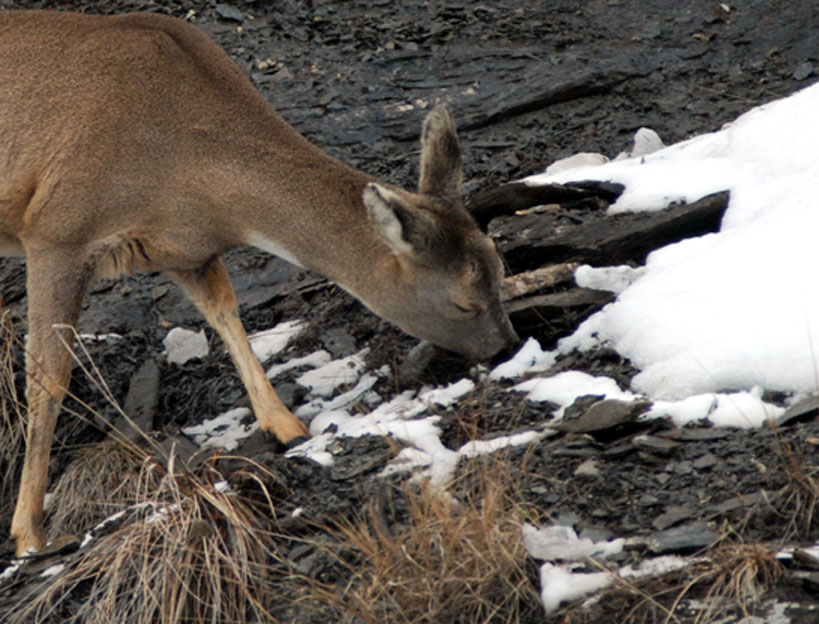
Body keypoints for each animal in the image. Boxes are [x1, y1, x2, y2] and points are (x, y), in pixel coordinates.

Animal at [1, 8, 520, 556]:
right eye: (465, 303)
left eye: (501, 270)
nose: (508, 345)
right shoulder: (57, 229)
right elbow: (48, 377)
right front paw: (29, 531)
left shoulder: (186, 251)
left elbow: (227, 315)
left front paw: (288, 427)